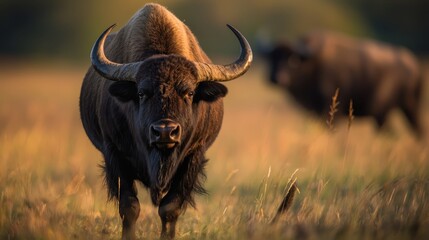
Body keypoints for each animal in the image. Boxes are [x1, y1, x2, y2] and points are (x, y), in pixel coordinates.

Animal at [79, 3, 251, 238]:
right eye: (142, 93)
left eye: (189, 93)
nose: (164, 132)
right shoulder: (114, 153)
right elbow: (129, 207)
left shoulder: (193, 157)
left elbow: (170, 208)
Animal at [262, 31, 422, 137]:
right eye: (271, 57)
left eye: (293, 59)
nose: (277, 78)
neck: (313, 64)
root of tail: (413, 64)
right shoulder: (312, 112)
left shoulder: (332, 112)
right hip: (395, 112)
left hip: (395, 110)